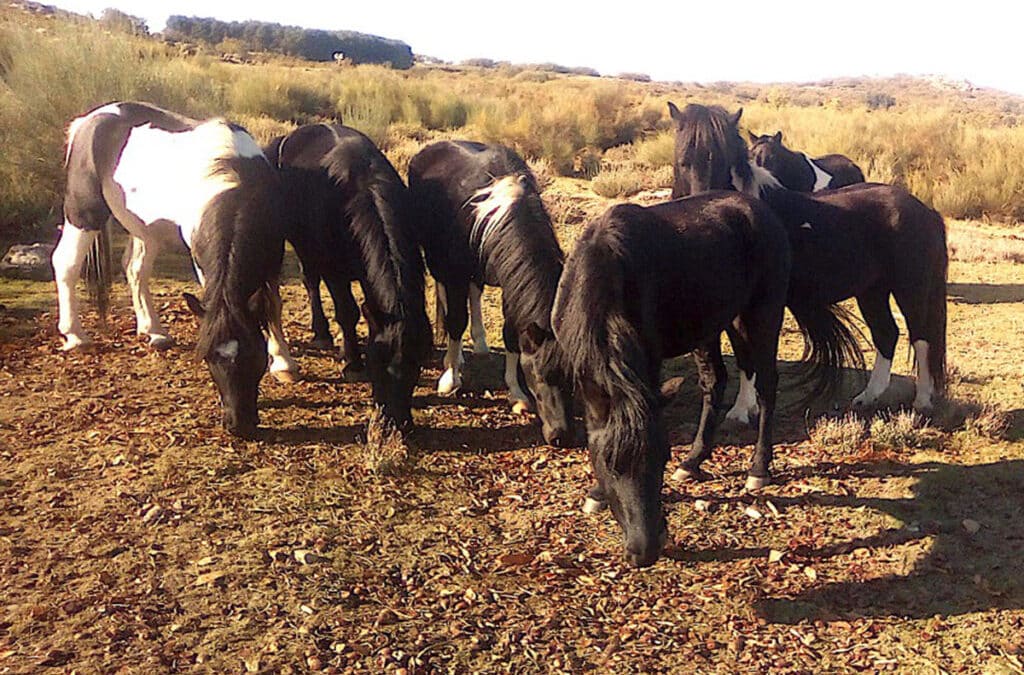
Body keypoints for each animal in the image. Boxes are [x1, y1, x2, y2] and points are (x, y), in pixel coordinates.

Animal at [264, 123, 432, 430]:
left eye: (416, 365)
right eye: (378, 363)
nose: (396, 423)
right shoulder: (335, 271)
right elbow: (347, 312)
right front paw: (353, 362)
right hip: (302, 246)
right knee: (311, 281)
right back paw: (321, 333)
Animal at [405, 140, 573, 446]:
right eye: (537, 373)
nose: (560, 435)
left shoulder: (510, 282)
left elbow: (511, 335)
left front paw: (516, 394)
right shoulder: (454, 272)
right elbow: (456, 321)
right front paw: (450, 378)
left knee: (475, 293)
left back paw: (480, 343)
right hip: (438, 261)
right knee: (447, 298)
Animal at [552, 192, 856, 569]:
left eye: (663, 457)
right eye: (609, 463)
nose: (646, 550)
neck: (602, 270)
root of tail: (764, 213)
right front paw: (596, 493)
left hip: (759, 316)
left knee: (766, 385)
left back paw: (758, 469)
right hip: (714, 324)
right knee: (716, 382)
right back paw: (694, 461)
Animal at [667, 101, 946, 417]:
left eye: (723, 161)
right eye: (683, 161)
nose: (704, 208)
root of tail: (925, 210)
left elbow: (749, 355)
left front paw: (740, 411)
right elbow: (743, 357)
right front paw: (744, 409)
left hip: (911, 290)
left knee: (922, 337)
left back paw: (922, 401)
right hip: (871, 292)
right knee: (886, 333)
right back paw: (867, 397)